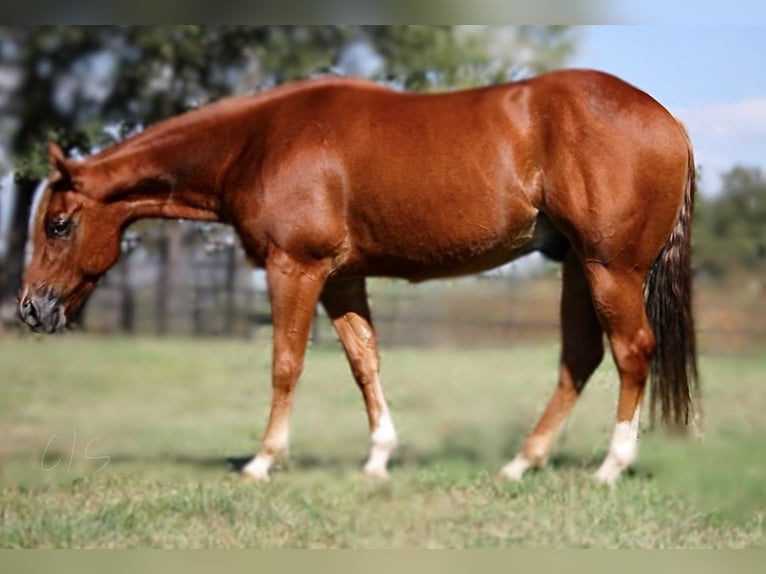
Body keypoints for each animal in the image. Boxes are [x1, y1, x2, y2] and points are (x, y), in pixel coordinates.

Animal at [19, 71, 704, 486]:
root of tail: (670, 121)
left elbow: (286, 363)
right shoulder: (341, 278)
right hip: (577, 268)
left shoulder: (295, 267)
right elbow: (364, 362)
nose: (30, 309)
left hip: (610, 269)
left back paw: (610, 467)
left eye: (57, 223)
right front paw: (378, 457)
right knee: (578, 360)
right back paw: (519, 465)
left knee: (632, 351)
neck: (257, 140)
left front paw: (263, 460)